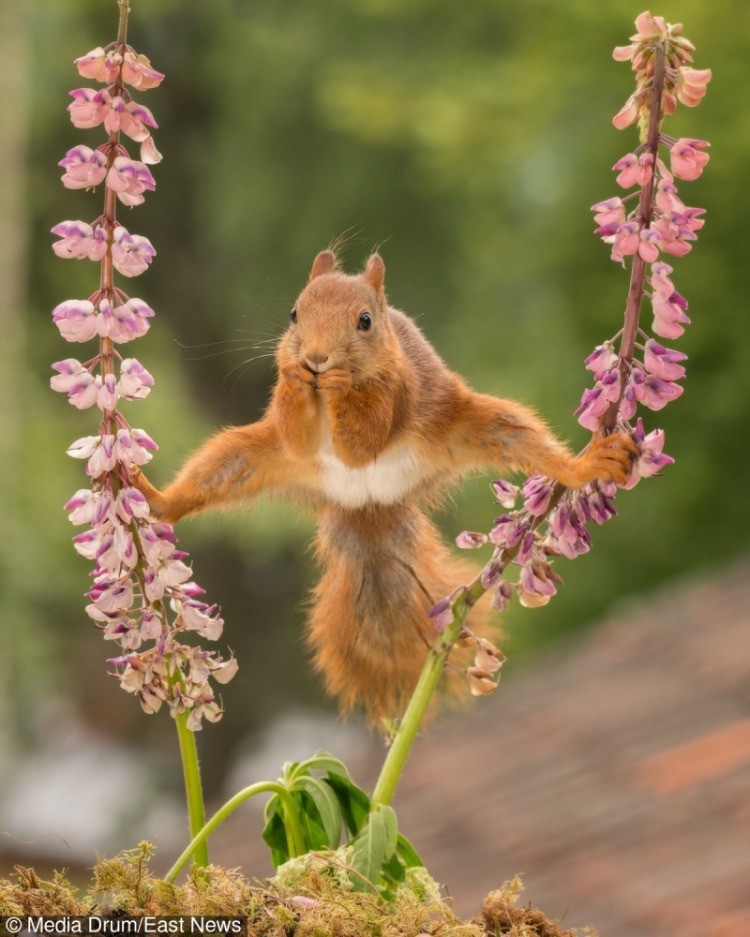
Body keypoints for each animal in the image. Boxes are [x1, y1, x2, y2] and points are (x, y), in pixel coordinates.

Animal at [134, 249, 636, 716]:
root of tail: (369, 503)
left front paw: (338, 383)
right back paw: (155, 499)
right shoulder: (292, 438)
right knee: (214, 472)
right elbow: (297, 435)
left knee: (522, 438)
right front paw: (295, 377)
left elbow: (364, 440)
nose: (316, 359)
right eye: (294, 313)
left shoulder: (399, 390)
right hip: (245, 456)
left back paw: (585, 465)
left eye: (365, 322)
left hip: (474, 426)